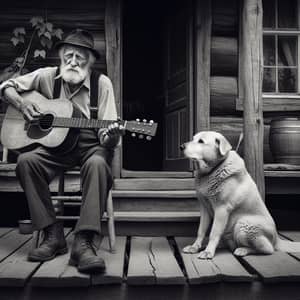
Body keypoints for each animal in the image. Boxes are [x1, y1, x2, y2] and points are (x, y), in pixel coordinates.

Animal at [182, 130, 300, 258]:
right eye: (193, 138)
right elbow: (201, 231)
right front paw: (195, 247)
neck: (212, 171)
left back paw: (243, 250)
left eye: (201, 141)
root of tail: (277, 239)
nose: (181, 146)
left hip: (243, 224)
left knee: (268, 249)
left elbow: (214, 232)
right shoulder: (204, 209)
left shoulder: (222, 209)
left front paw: (208, 251)